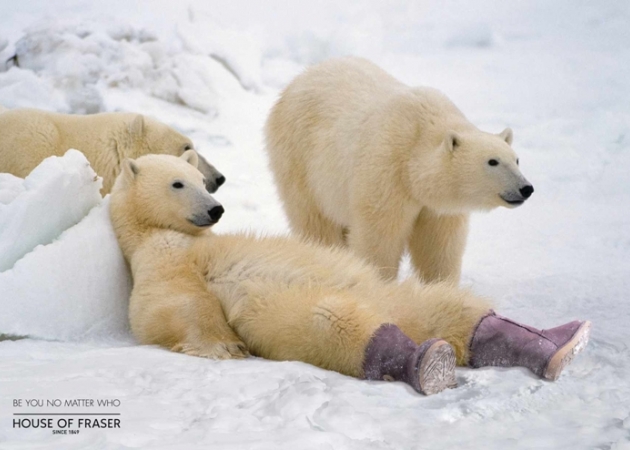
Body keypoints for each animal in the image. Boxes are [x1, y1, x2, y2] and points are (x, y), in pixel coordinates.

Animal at [110, 153, 592, 396]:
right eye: (178, 183)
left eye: (200, 180)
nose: (215, 209)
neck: (173, 236)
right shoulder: (159, 262)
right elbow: (171, 306)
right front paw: (224, 347)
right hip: (284, 311)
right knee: (333, 321)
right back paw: (429, 363)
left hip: (384, 290)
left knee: (443, 306)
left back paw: (563, 342)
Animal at [264, 56, 536, 282]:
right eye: (492, 161)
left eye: (516, 159)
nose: (526, 188)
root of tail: (299, 78)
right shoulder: (388, 171)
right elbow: (380, 237)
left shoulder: (437, 207)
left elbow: (439, 246)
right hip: (299, 158)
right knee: (315, 222)